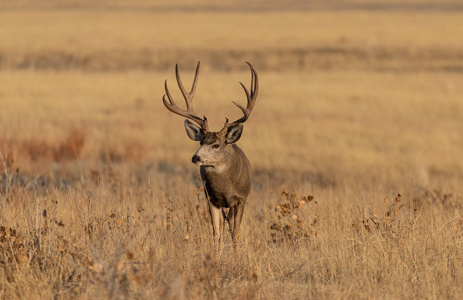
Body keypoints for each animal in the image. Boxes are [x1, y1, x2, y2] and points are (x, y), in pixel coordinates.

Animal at [162, 61, 258, 251]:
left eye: (216, 145)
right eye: (200, 142)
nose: (195, 158)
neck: (226, 188)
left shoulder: (241, 199)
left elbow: (236, 233)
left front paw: (237, 255)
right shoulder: (212, 200)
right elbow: (216, 233)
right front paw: (216, 254)